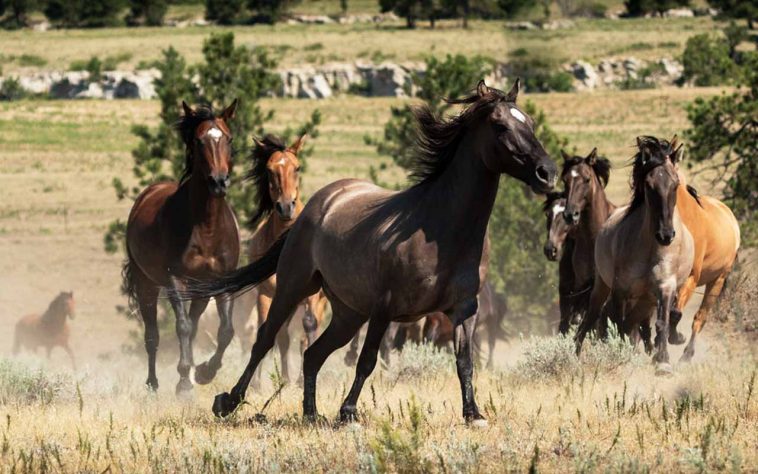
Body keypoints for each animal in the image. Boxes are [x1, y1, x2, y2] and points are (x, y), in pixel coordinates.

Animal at [123, 100, 241, 395]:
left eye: (229, 138)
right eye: (199, 141)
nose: (219, 182)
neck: (207, 227)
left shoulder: (221, 282)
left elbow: (225, 330)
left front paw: (204, 372)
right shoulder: (175, 279)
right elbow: (183, 327)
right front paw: (184, 382)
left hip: (200, 291)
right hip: (146, 284)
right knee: (152, 335)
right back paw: (152, 384)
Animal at [234, 134, 330, 384]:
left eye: (297, 167)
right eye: (269, 170)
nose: (286, 207)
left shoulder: (312, 296)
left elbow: (308, 326)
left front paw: (303, 378)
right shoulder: (268, 295)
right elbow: (266, 329)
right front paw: (256, 383)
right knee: (284, 335)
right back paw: (285, 378)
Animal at [575, 136, 694, 375]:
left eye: (675, 184)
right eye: (649, 185)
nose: (666, 235)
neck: (650, 248)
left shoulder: (665, 286)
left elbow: (661, 323)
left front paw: (663, 362)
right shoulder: (621, 289)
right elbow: (617, 323)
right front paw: (619, 358)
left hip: (645, 300)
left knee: (638, 324)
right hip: (603, 286)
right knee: (592, 318)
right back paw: (575, 355)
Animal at [664, 137, 740, 362]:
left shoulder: (691, 277)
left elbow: (676, 313)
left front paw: (675, 338)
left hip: (717, 280)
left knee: (699, 318)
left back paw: (687, 355)